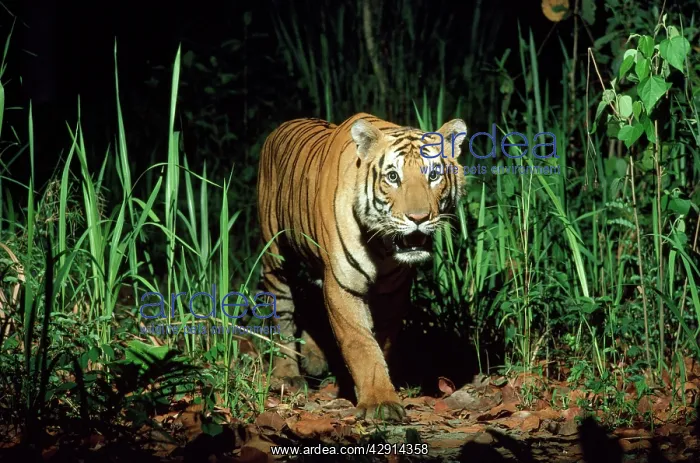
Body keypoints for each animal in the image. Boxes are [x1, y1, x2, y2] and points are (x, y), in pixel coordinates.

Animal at [257, 113, 466, 421]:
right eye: (393, 177)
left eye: (433, 175)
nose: (418, 218)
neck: (383, 248)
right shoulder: (343, 285)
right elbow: (361, 344)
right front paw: (380, 403)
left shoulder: (393, 293)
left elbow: (382, 341)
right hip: (277, 259)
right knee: (282, 316)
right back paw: (288, 375)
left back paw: (315, 358)